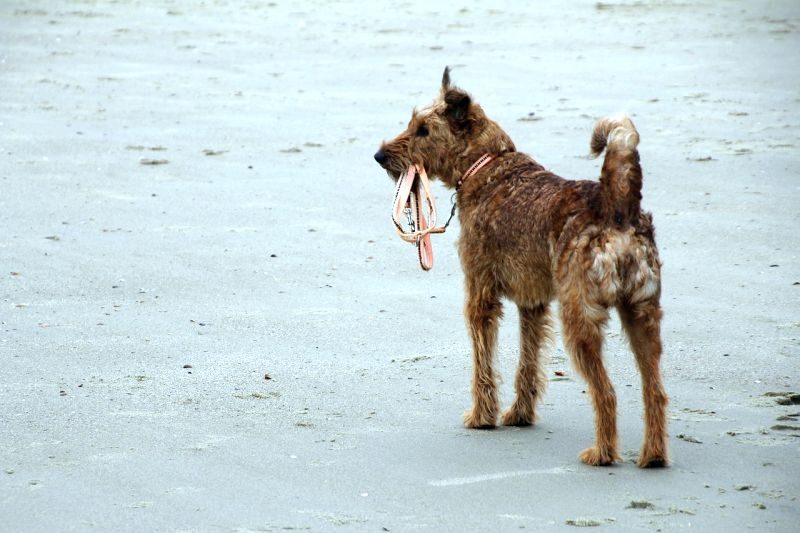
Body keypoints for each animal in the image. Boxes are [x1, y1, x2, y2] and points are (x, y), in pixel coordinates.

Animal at [376, 66, 668, 466]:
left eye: (423, 129)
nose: (379, 155)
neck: (488, 165)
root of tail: (617, 205)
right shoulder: (533, 302)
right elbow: (527, 362)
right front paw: (519, 415)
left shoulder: (480, 294)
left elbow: (483, 363)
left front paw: (482, 417)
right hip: (643, 313)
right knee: (655, 390)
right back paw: (653, 455)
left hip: (580, 318)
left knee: (606, 391)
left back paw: (602, 452)